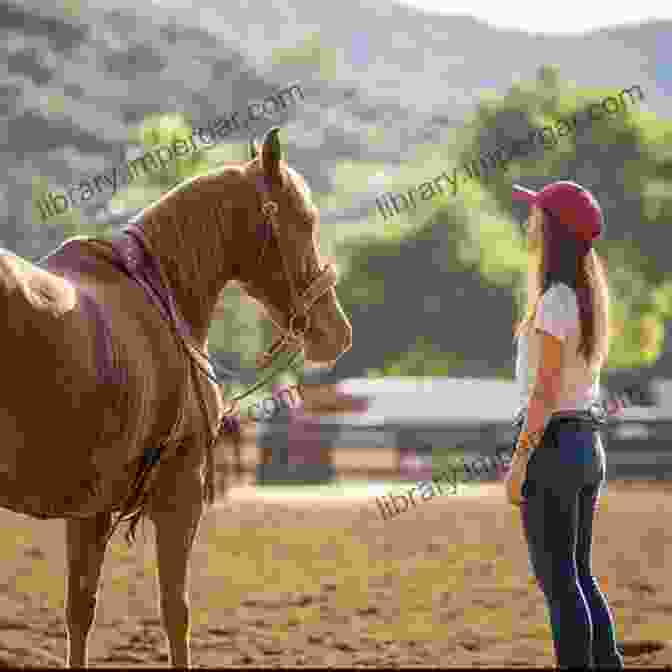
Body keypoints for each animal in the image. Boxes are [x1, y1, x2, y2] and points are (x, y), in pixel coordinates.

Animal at [0, 127, 352, 668]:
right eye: (304, 219)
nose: (336, 333)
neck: (163, 292)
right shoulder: (180, 490)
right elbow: (175, 611)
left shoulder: (90, 510)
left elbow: (80, 611)